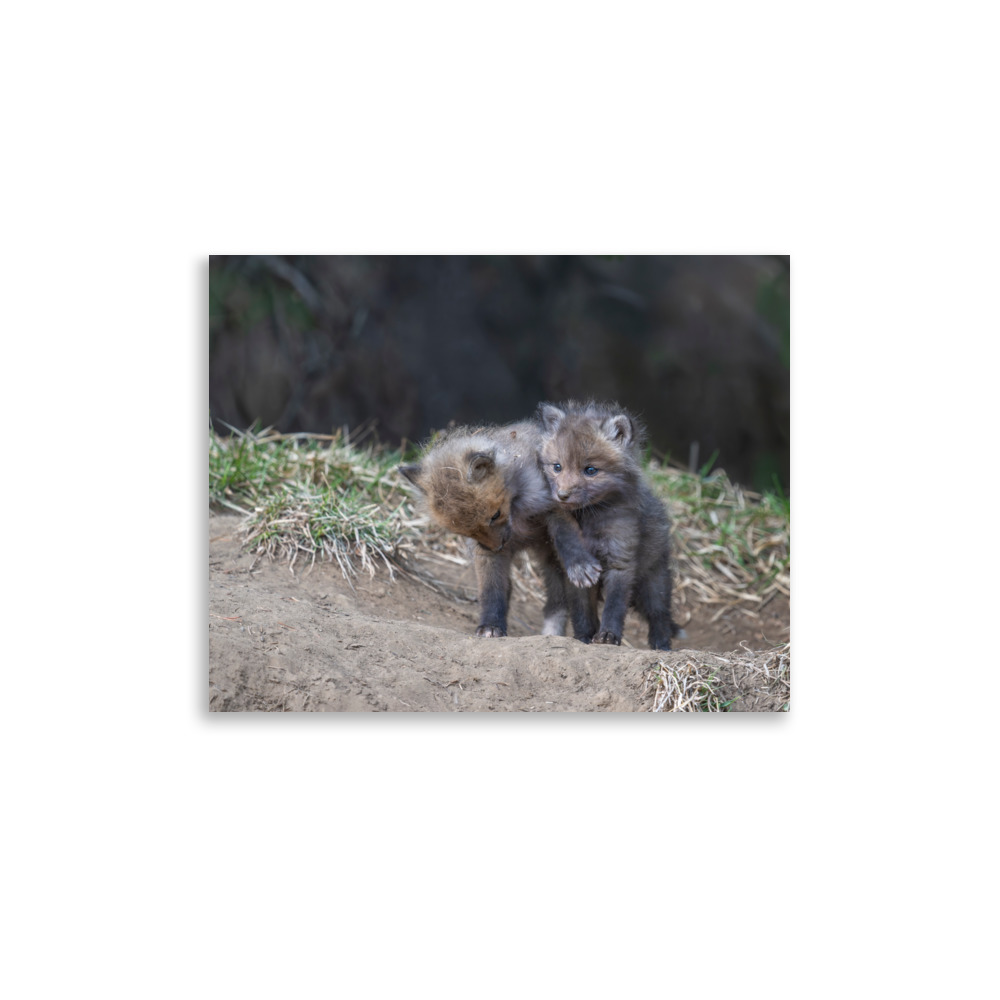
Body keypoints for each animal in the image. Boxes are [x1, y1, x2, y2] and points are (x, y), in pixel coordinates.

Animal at [399, 420, 601, 638]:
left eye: (495, 515)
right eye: (464, 531)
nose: (497, 547)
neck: (517, 511)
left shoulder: (555, 505)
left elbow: (567, 537)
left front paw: (580, 565)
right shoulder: (484, 552)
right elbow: (491, 590)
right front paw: (491, 625)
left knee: (576, 604)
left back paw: (584, 636)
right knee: (554, 602)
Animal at [537, 400, 676, 650]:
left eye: (590, 470)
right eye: (557, 467)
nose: (562, 495)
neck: (590, 519)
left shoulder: (620, 559)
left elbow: (614, 606)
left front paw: (608, 636)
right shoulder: (576, 573)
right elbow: (582, 611)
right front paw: (583, 637)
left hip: (654, 582)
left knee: (660, 615)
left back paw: (662, 646)